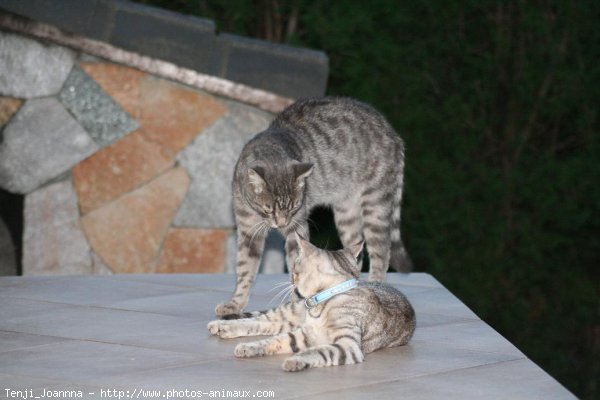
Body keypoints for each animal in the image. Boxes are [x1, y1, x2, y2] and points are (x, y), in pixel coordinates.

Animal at [209, 234, 414, 372]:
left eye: (294, 269)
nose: (291, 278)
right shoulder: (306, 333)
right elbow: (273, 340)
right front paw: (250, 347)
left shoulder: (347, 345)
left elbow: (318, 351)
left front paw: (295, 360)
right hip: (289, 311)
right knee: (258, 319)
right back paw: (221, 325)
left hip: (288, 321)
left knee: (266, 324)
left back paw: (224, 328)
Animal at [217, 95, 412, 318]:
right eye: (268, 209)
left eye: (294, 206)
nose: (282, 224)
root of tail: (393, 134)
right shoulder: (249, 231)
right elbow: (245, 270)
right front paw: (236, 303)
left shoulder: (296, 228)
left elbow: (296, 264)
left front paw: (296, 301)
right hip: (347, 215)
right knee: (355, 254)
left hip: (375, 205)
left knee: (381, 253)